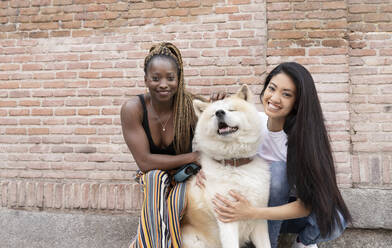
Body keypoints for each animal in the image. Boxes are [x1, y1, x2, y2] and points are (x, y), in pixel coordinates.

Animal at [182, 84, 272, 247]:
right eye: (213, 114)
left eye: (232, 110)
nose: (219, 112)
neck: (235, 164)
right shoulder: (227, 219)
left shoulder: (259, 216)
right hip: (194, 241)